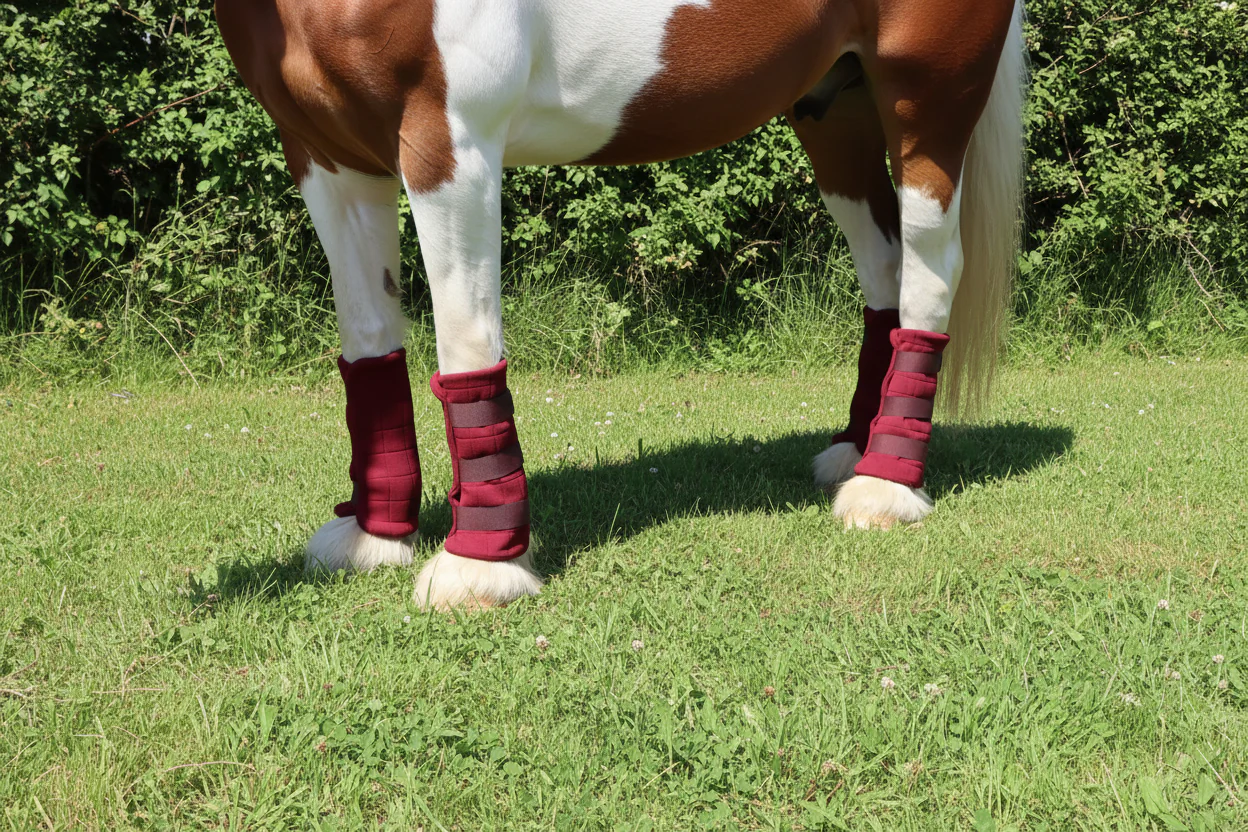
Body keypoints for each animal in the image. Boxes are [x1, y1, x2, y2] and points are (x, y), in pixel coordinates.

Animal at [214, 0, 1026, 610]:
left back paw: (887, 488)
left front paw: (481, 566)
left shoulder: (449, 143)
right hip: (834, 108)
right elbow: (370, 340)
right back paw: (857, 454)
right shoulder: (327, 157)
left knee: (930, 272)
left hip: (927, 102)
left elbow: (467, 340)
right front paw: (375, 535)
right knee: (884, 270)